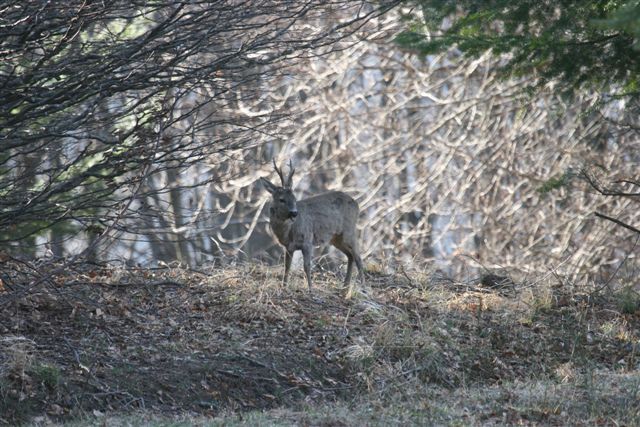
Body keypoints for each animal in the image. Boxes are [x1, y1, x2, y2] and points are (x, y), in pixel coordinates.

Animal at [258, 159, 360, 292]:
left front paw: (310, 289)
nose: (294, 212)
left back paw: (362, 284)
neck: (288, 232)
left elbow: (306, 266)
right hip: (336, 238)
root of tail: (356, 204)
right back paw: (345, 287)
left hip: (349, 230)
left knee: (358, 257)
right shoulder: (288, 247)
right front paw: (284, 286)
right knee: (350, 256)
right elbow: (287, 266)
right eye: (281, 199)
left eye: (294, 198)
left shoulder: (307, 241)